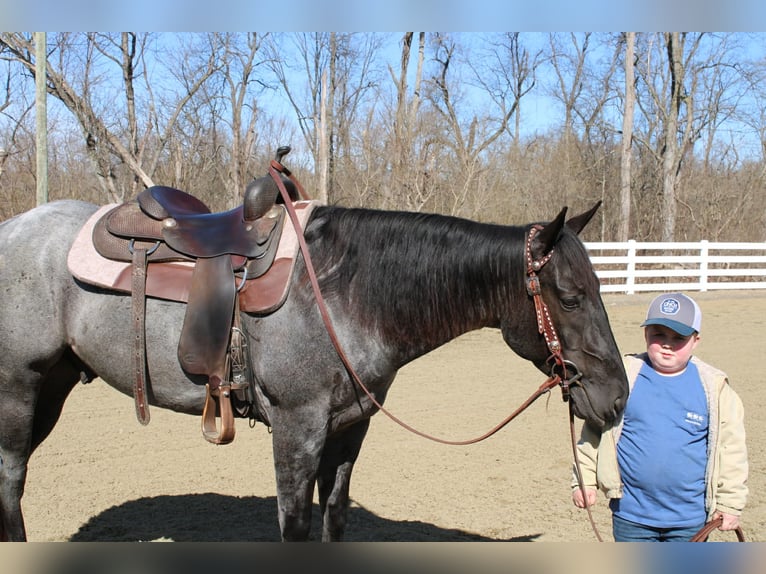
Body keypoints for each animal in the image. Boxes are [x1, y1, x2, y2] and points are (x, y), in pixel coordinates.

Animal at [0, 196, 628, 542]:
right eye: (570, 297)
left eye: (599, 288)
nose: (618, 397)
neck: (345, 294)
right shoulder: (296, 428)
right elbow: (295, 525)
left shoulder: (350, 427)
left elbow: (335, 516)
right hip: (18, 389)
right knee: (11, 479)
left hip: (53, 386)